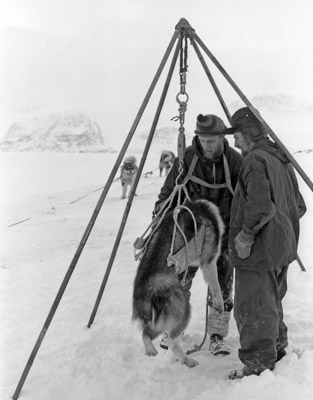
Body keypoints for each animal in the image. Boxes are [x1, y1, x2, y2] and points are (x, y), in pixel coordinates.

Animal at [132, 198, 224, 368]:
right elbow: (216, 288)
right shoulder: (208, 261)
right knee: (172, 342)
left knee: (146, 334)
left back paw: (151, 351)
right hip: (184, 311)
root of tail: (145, 298)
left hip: (160, 322)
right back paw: (188, 360)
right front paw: (219, 305)